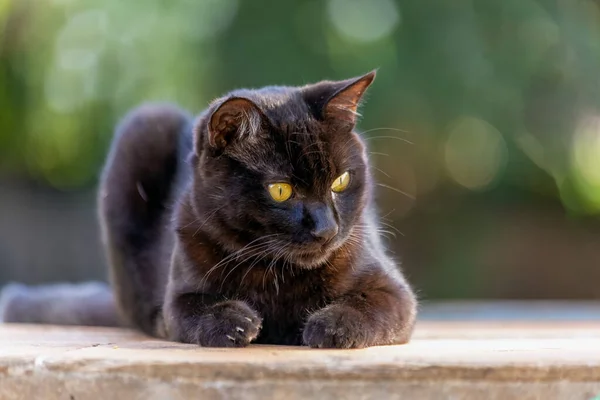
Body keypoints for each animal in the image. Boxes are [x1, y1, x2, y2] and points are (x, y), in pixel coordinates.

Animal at [0, 72, 418, 346]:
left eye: (340, 182)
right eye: (281, 190)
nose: (326, 229)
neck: (278, 277)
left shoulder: (394, 291)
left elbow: (369, 305)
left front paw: (327, 327)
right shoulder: (180, 295)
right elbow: (195, 310)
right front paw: (234, 322)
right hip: (143, 129)